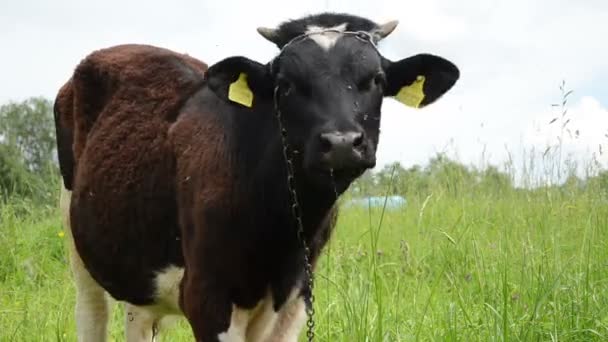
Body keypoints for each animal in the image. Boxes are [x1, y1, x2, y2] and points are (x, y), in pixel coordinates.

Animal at [55, 11, 456, 342]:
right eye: (286, 84)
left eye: (375, 79)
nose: (342, 142)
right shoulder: (206, 297)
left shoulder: (297, 296)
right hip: (80, 251)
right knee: (90, 315)